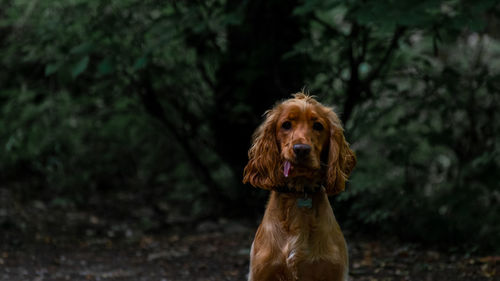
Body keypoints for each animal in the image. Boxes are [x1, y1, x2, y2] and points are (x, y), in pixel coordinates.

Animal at [243, 93, 356, 278]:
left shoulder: (332, 269)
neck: (299, 191)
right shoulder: (262, 270)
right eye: (286, 125)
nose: (301, 149)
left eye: (318, 126)